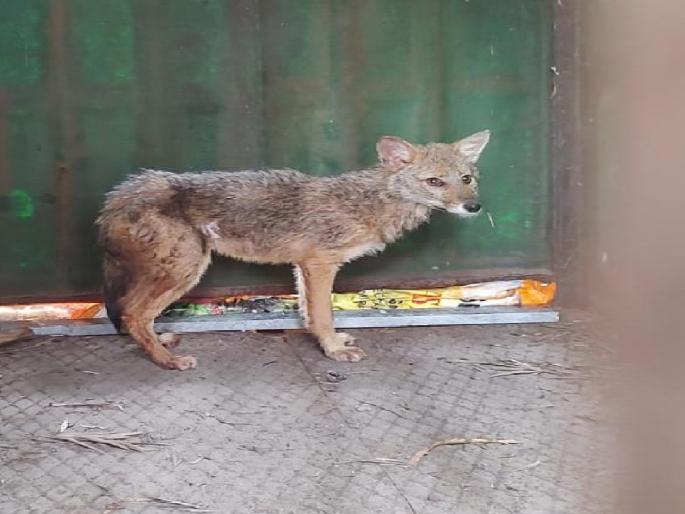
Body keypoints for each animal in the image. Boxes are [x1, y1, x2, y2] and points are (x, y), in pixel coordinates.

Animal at [96, 131, 490, 370]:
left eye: (466, 179)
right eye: (435, 181)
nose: (473, 207)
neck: (369, 203)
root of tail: (122, 193)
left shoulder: (303, 266)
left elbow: (308, 313)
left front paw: (330, 342)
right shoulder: (321, 264)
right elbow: (324, 314)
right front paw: (335, 350)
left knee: (133, 314)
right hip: (186, 270)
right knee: (132, 313)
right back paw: (168, 361)